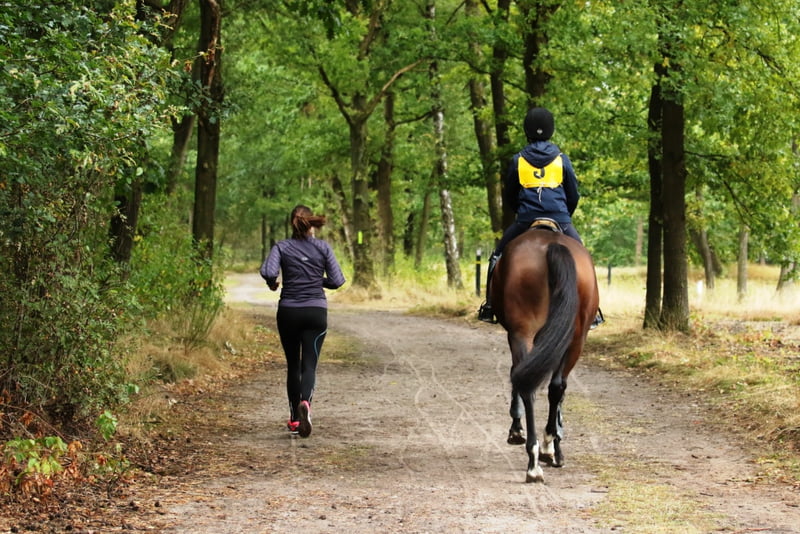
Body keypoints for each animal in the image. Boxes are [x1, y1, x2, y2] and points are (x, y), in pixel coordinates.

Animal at [490, 224, 604, 484]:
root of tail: (553, 244)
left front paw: (517, 429)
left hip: (525, 332)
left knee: (531, 385)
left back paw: (535, 458)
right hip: (575, 338)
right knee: (555, 386)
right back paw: (546, 449)